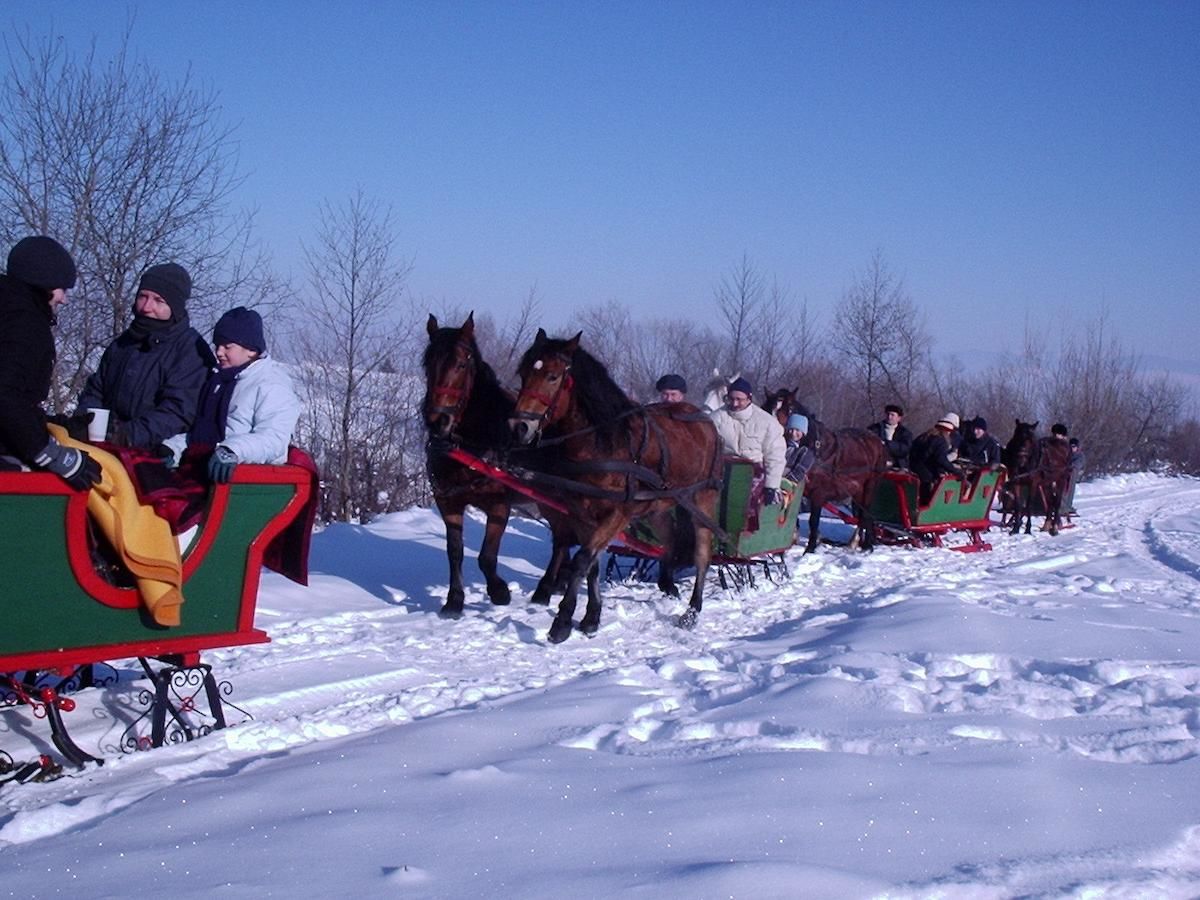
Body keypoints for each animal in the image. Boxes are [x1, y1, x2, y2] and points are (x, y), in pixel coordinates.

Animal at [422, 314, 571, 619]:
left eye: (461, 364)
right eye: (427, 364)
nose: (437, 421)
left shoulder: (499, 505)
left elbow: (487, 556)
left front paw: (500, 592)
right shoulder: (448, 502)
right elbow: (454, 551)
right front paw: (454, 601)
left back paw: (547, 588)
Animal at [508, 328, 720, 643]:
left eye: (553, 377)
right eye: (523, 373)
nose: (519, 427)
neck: (603, 444)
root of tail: (705, 420)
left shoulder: (617, 514)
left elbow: (582, 560)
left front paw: (562, 622)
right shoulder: (581, 514)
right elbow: (592, 566)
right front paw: (591, 618)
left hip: (702, 499)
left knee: (702, 554)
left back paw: (692, 611)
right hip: (659, 506)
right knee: (669, 539)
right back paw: (667, 583)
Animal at [763, 391, 888, 554]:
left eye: (788, 411)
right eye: (765, 409)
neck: (816, 450)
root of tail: (877, 441)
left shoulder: (818, 492)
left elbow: (813, 520)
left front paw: (810, 548)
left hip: (870, 485)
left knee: (866, 513)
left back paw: (866, 545)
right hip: (857, 489)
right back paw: (855, 542)